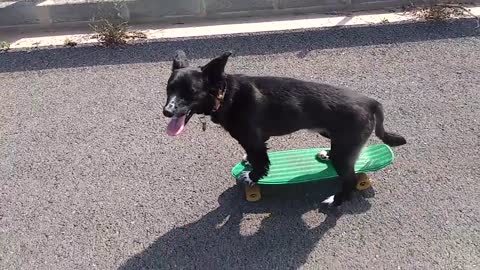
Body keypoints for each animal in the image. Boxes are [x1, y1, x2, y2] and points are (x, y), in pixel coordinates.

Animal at [163, 50, 406, 206]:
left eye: (191, 92)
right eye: (169, 89)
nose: (166, 111)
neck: (225, 92)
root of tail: (370, 101)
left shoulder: (253, 140)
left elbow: (260, 162)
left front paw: (252, 177)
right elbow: (254, 157)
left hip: (345, 151)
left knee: (350, 181)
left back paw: (335, 201)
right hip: (334, 137)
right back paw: (327, 154)